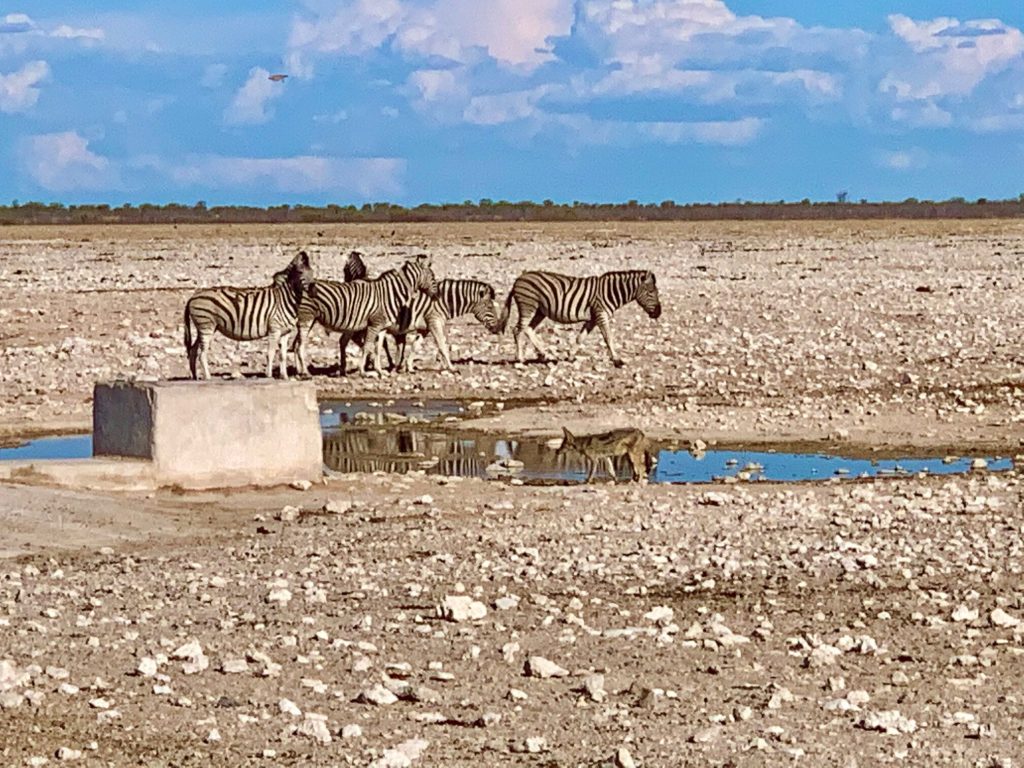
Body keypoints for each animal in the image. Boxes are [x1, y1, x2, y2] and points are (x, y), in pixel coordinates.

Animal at [183, 250, 313, 380]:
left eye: (312, 272)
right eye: (300, 272)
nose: (313, 289)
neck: (285, 299)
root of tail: (192, 297)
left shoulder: (285, 333)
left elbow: (283, 355)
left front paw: (284, 376)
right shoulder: (274, 330)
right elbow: (270, 353)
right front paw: (269, 375)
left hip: (205, 327)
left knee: (193, 350)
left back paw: (195, 376)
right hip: (206, 326)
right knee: (202, 354)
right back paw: (208, 377)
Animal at [294, 255, 439, 376]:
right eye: (432, 277)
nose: (437, 296)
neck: (391, 294)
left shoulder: (382, 327)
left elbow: (377, 348)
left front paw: (380, 371)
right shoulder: (374, 324)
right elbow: (367, 346)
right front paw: (363, 371)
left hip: (310, 320)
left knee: (297, 344)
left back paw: (299, 372)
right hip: (307, 318)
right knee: (301, 345)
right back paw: (305, 372)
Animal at [496, 269, 661, 367]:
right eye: (651, 292)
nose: (658, 313)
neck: (610, 292)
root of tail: (518, 279)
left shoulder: (592, 318)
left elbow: (580, 338)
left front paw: (570, 356)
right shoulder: (600, 314)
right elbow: (608, 337)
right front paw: (617, 360)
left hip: (540, 310)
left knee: (528, 329)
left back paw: (544, 354)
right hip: (528, 305)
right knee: (518, 329)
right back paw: (520, 359)